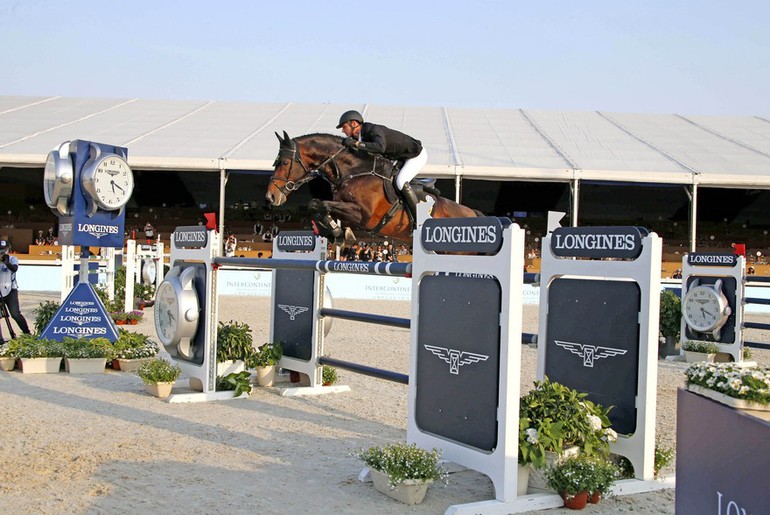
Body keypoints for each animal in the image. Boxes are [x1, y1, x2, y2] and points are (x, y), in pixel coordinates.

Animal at [266, 131, 480, 244]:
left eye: (284, 162)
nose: (270, 197)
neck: (354, 171)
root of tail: (471, 212)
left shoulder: (364, 215)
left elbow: (321, 204)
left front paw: (338, 233)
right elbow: (315, 204)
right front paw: (336, 233)